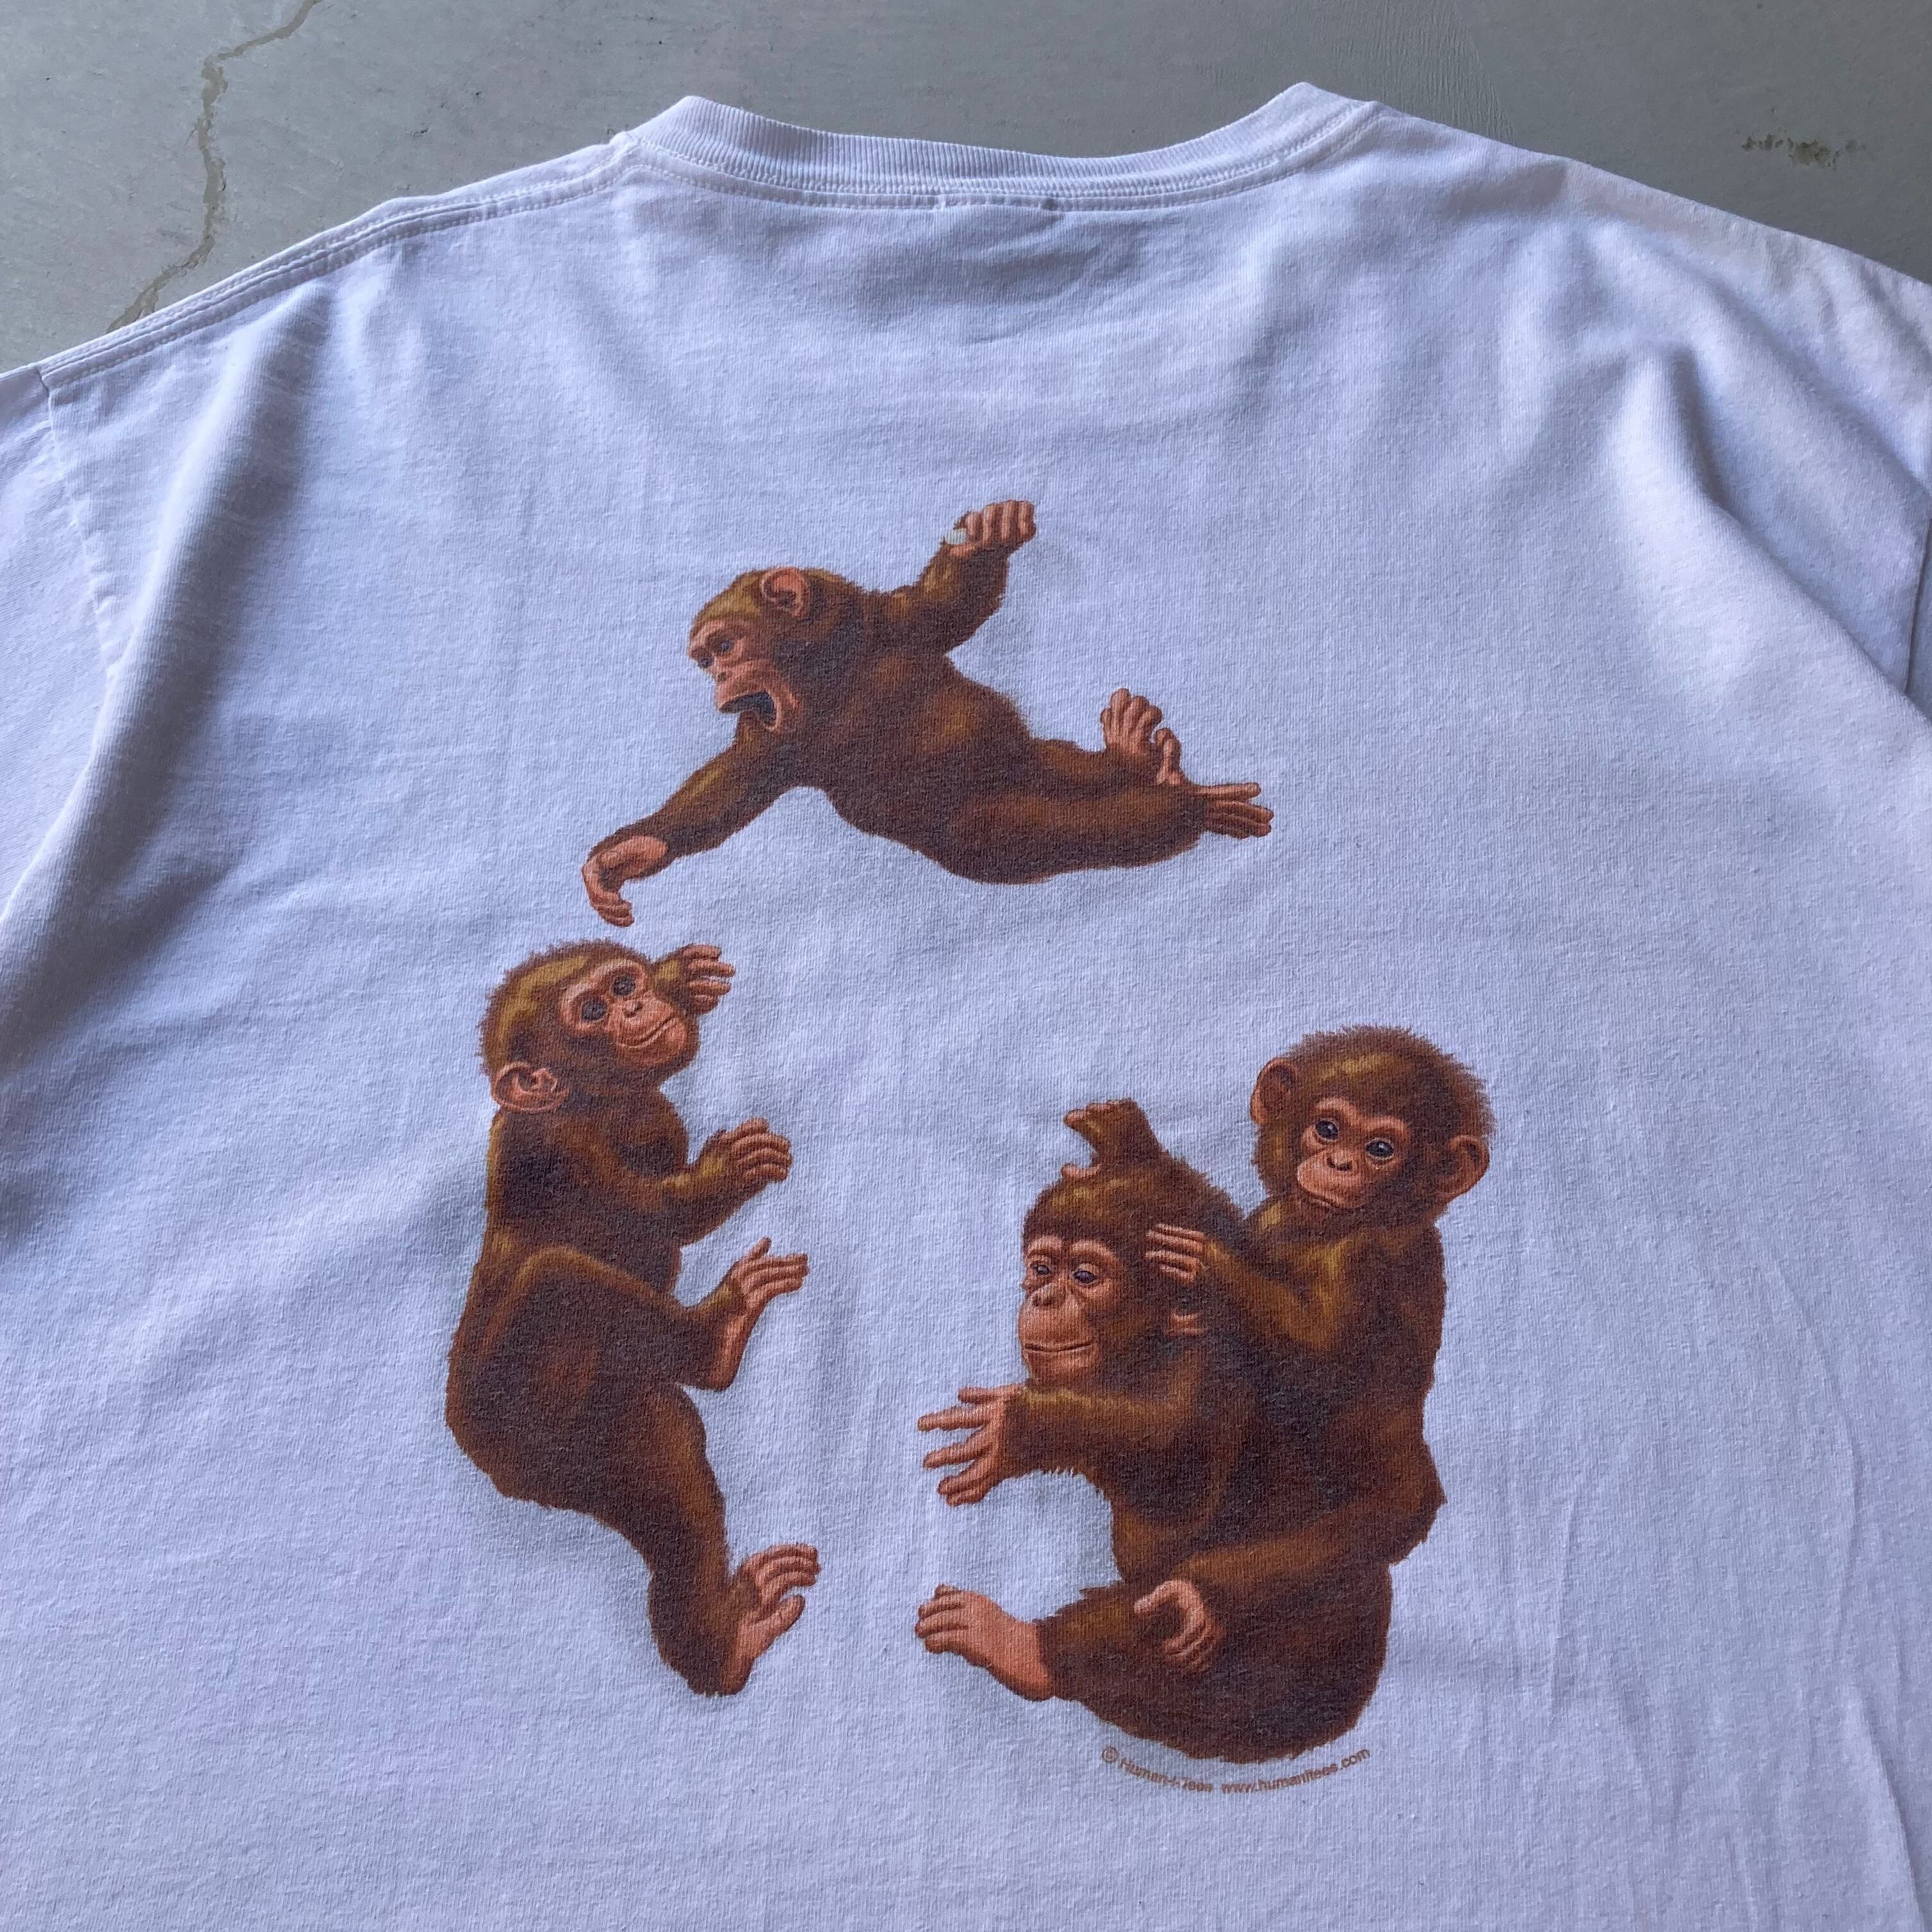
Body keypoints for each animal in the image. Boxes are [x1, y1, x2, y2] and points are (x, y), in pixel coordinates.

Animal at [446, 939, 818, 1696]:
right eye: (592, 1011)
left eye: (623, 986)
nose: (639, 1005)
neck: (601, 1102)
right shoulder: (562, 1150)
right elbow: (658, 1215)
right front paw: (725, 1173)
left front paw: (681, 979)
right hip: (521, 1423)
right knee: (560, 1280)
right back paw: (713, 1340)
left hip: (621, 1437)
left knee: (679, 1513)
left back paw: (726, 1635)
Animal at [582, 500, 1273, 922]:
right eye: (707, 659)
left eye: (725, 646)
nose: (720, 677)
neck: (830, 677)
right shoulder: (769, 736)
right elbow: (735, 783)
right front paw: (629, 853)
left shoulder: (890, 624)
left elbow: (947, 607)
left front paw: (980, 543)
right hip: (990, 826)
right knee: (1067, 826)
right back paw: (1158, 784)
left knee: (1086, 819)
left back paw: (1168, 794)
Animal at [914, 1101, 1392, 1763]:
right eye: (1042, 1267)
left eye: (1086, 1276)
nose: (1044, 1296)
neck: (1147, 1352)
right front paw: (1128, 1143)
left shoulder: (1207, 1373)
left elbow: (1175, 1472)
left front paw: (1023, 1427)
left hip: (1269, 1702)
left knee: (1175, 1612)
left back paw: (1022, 1649)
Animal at [1146, 1028, 1493, 1603]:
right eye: (1327, 1129)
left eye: (1380, 1149)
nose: (1341, 1164)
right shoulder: (1269, 1219)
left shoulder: (1361, 1260)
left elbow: (1323, 1367)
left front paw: (1211, 1265)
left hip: (1392, 1508)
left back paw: (1198, 1597)